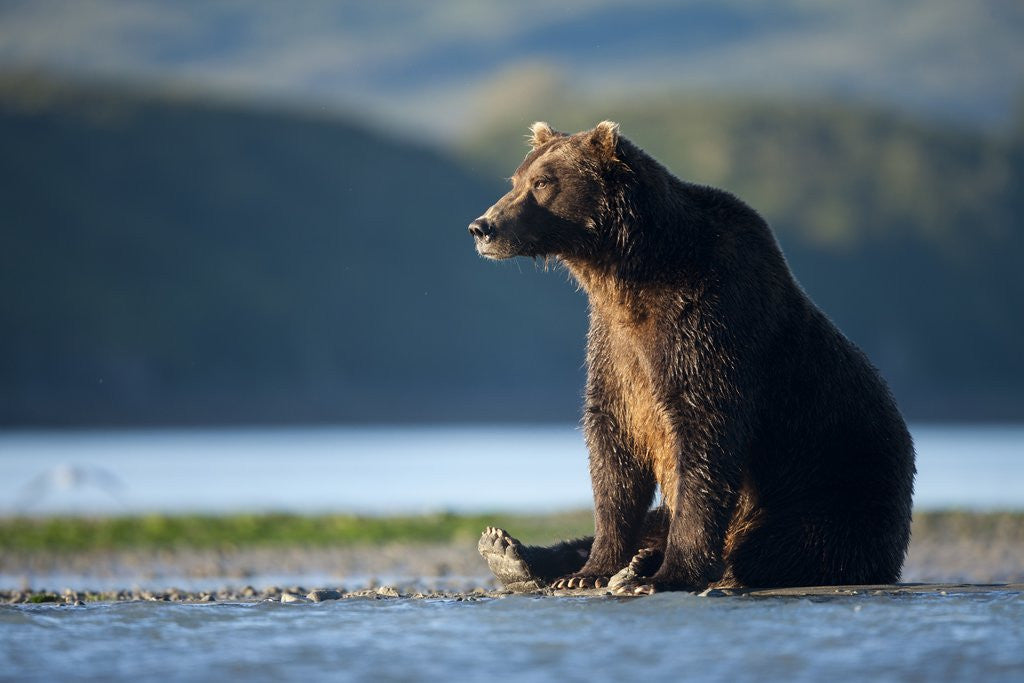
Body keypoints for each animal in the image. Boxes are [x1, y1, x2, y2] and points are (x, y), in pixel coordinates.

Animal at [469, 121, 916, 594]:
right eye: (516, 180)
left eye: (543, 183)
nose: (483, 227)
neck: (629, 275)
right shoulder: (613, 346)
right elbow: (613, 450)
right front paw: (590, 571)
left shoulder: (707, 322)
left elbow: (703, 437)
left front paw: (667, 573)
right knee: (657, 523)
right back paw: (511, 552)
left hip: (837, 488)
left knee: (788, 543)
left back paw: (651, 565)